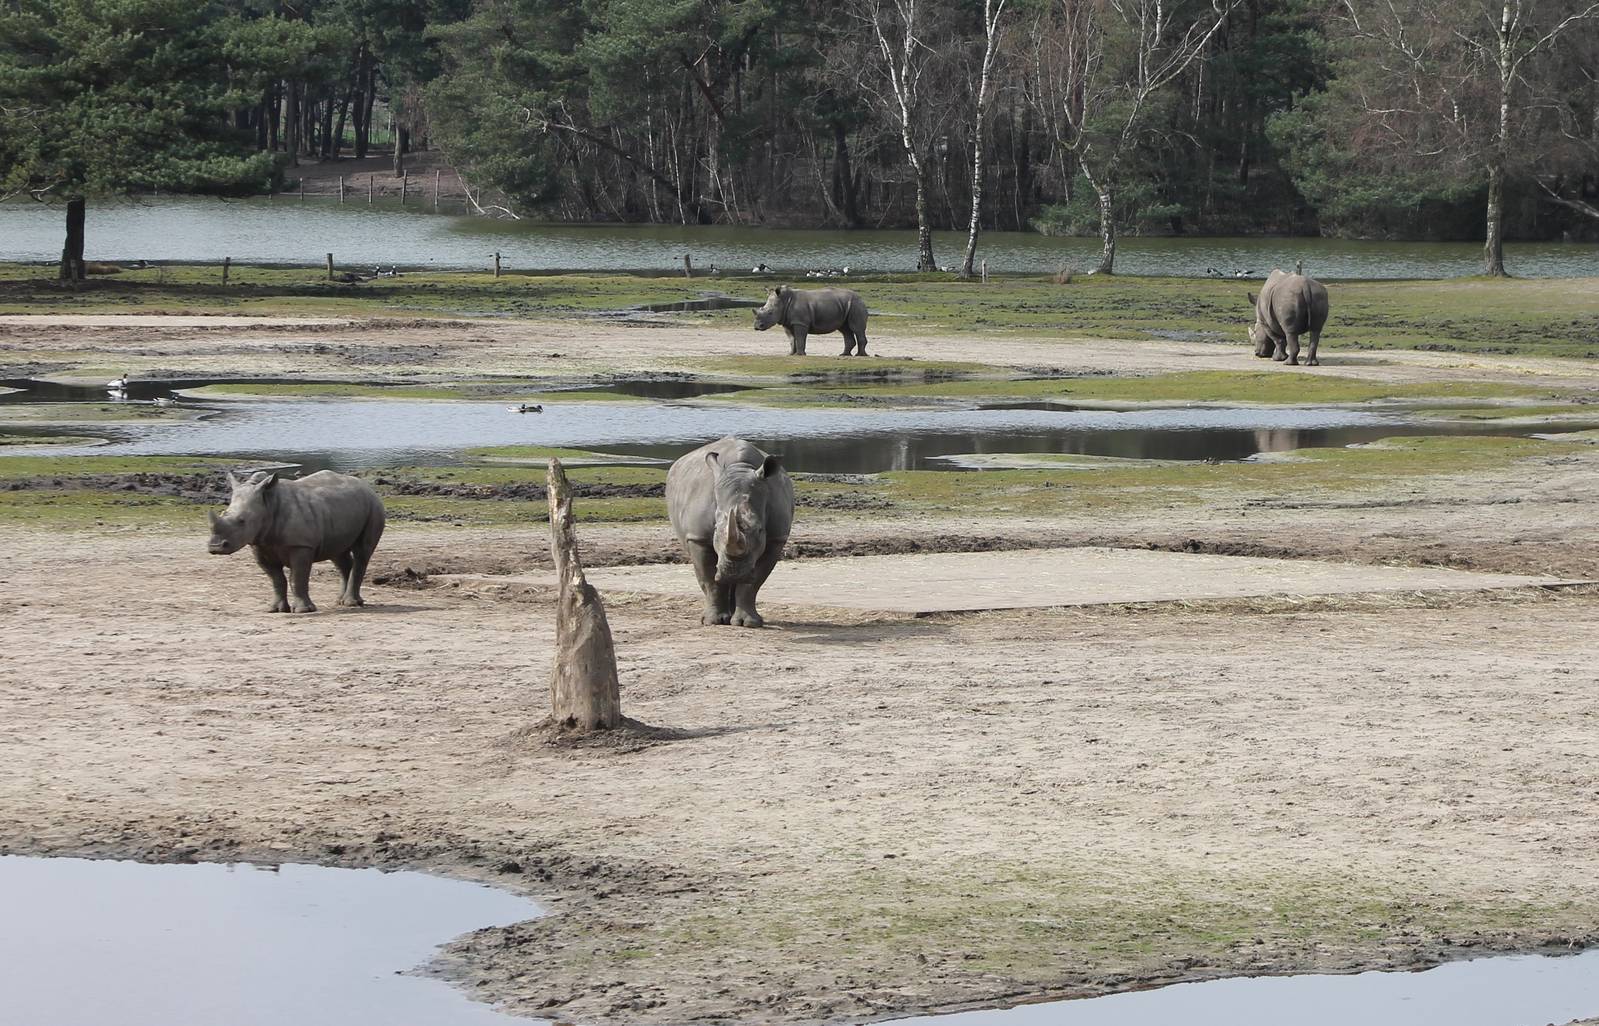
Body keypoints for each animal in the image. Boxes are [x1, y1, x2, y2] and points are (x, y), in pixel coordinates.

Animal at [207, 470, 386, 613]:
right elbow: (277, 580)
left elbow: (298, 578)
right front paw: (275, 610)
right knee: (338, 553)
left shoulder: (301, 546)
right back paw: (340, 601)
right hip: (339, 510)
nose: (215, 547)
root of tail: (367, 487)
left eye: (242, 521)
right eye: (223, 513)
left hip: (374, 506)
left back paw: (351, 603)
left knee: (362, 552)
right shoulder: (259, 545)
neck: (268, 504)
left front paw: (303, 610)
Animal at [666, 436, 794, 628]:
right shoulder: (698, 537)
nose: (733, 571)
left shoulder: (776, 538)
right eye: (716, 529)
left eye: (760, 530)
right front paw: (712, 621)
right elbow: (709, 580)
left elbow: (754, 583)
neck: (740, 468)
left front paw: (748, 623)